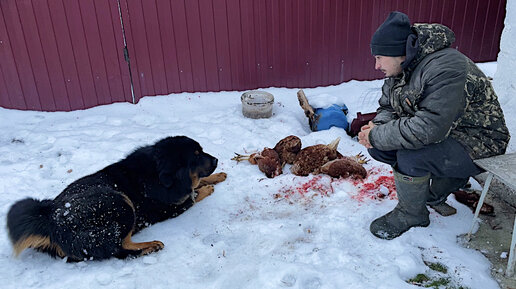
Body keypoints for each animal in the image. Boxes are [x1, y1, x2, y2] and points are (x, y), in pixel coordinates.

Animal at [6, 136, 226, 260]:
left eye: (202, 151)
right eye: (196, 155)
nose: (216, 159)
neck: (157, 172)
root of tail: (49, 219)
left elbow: (197, 183)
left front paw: (217, 176)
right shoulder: (170, 207)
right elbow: (193, 194)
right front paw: (206, 189)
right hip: (120, 203)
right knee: (118, 249)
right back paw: (149, 246)